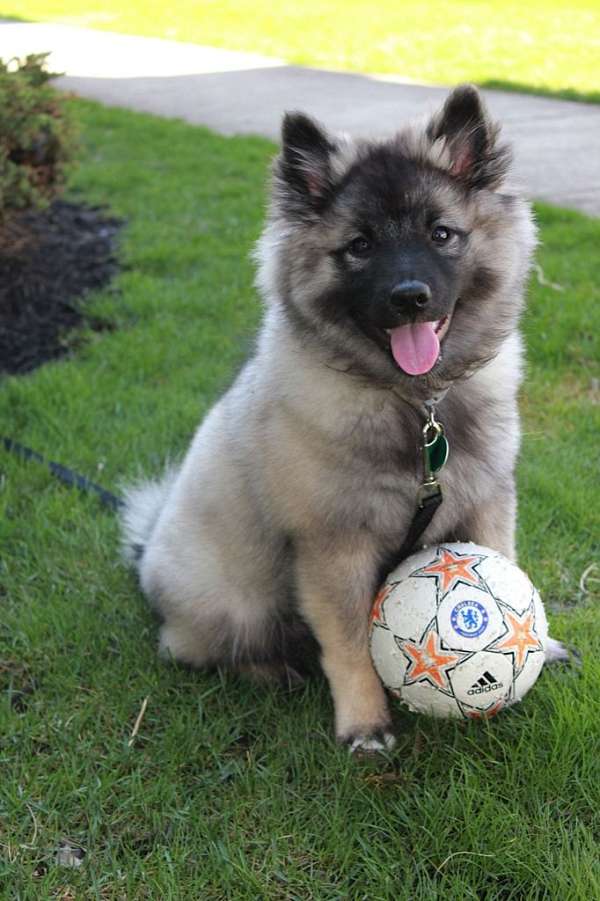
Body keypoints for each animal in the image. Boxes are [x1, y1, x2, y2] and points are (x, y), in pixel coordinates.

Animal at [123, 84, 568, 748]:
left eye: (441, 234)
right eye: (359, 247)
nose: (409, 297)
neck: (417, 406)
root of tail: (147, 549)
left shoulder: (485, 506)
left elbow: (506, 574)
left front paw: (542, 645)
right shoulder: (334, 549)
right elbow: (351, 644)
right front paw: (365, 725)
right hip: (238, 601)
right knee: (194, 648)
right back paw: (276, 670)